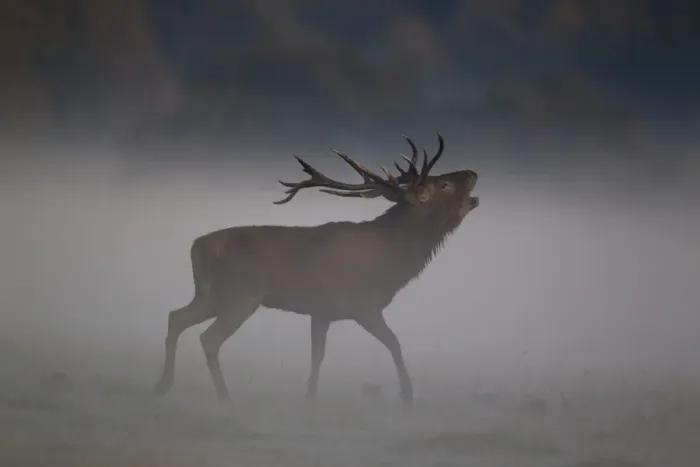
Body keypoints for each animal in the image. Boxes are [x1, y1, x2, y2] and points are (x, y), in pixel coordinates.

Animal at [151, 133, 479, 407]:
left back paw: (162, 385)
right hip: (239, 296)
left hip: (210, 295)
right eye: (443, 185)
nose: (473, 173)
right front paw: (408, 395)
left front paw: (310, 396)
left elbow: (317, 355)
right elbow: (395, 344)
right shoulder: (363, 305)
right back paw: (224, 396)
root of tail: (196, 247)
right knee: (208, 339)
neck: (392, 262)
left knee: (175, 317)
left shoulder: (321, 311)